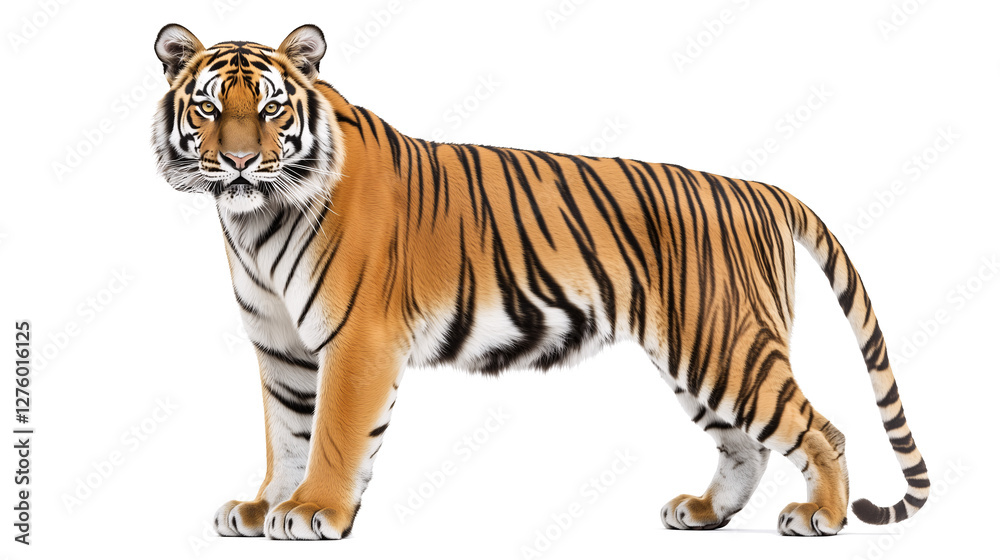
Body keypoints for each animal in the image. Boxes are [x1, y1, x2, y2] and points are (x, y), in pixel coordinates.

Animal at [151, 23, 929, 540]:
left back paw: (822, 515)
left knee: (822, 431)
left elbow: (335, 433)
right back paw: (704, 513)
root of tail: (760, 188)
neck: (256, 219)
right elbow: (286, 432)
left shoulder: (357, 340)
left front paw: (315, 510)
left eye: (272, 108)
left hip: (726, 346)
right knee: (747, 443)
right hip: (694, 357)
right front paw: (264, 507)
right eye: (210, 108)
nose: (242, 162)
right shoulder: (280, 345)